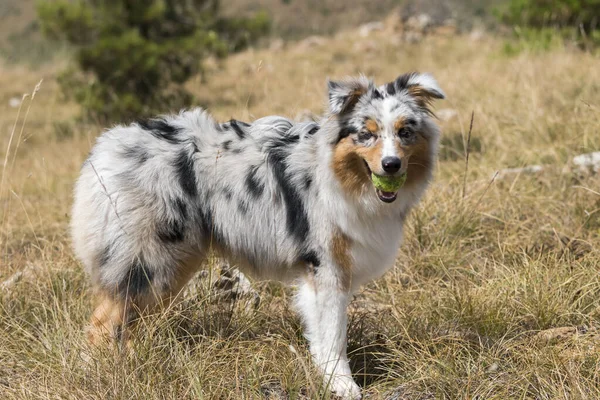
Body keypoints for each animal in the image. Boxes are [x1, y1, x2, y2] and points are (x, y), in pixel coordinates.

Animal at [71, 72, 446, 400]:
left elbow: (321, 333)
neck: (339, 175)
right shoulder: (326, 267)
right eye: (366, 134)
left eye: (405, 132)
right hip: (149, 259)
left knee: (126, 322)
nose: (391, 165)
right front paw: (342, 385)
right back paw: (103, 373)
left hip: (174, 263)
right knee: (100, 325)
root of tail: (105, 147)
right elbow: (333, 335)